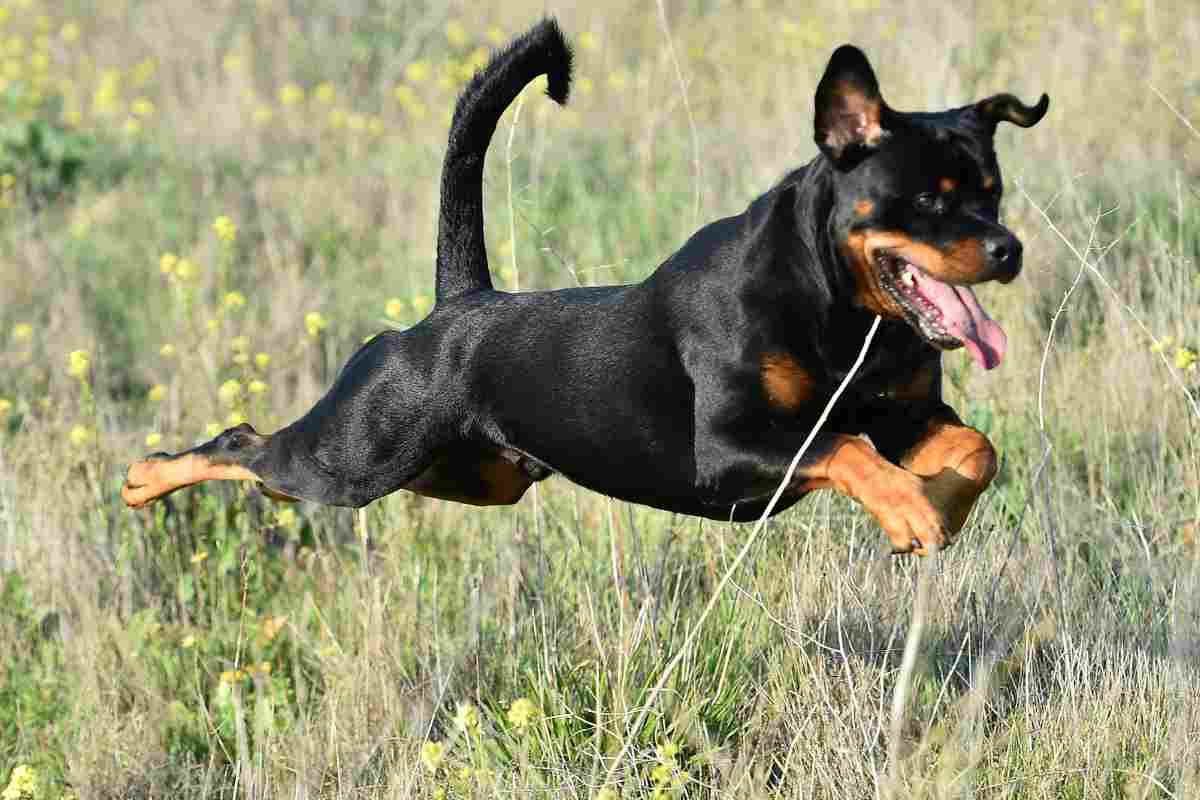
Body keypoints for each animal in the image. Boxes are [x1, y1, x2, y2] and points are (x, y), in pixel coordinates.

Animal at [119, 20, 1041, 556]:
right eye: (930, 200)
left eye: (994, 190)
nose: (1009, 251)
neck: (841, 310)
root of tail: (456, 307)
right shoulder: (730, 451)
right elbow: (844, 449)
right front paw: (912, 511)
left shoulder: (908, 416)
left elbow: (976, 449)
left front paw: (938, 506)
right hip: (355, 453)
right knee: (246, 445)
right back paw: (143, 478)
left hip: (469, 474)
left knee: (278, 468)